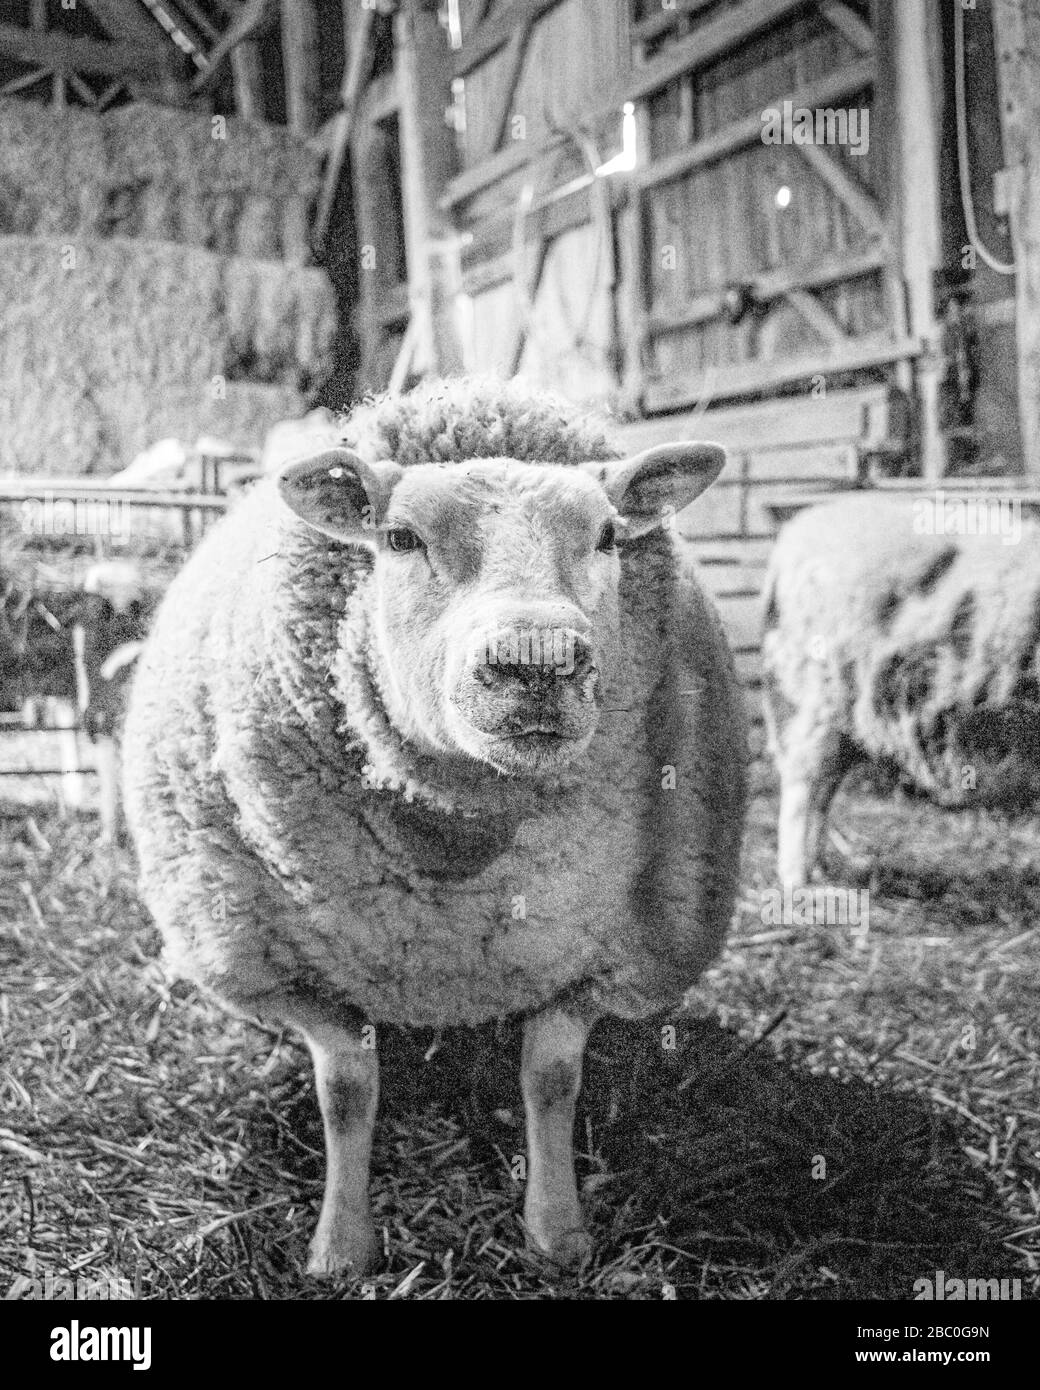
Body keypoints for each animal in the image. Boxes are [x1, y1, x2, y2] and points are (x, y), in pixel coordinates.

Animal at [119, 375, 745, 1273]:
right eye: (399, 537)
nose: (538, 660)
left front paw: (556, 1231)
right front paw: (341, 1248)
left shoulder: (607, 961)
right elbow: (347, 1093)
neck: (460, 838)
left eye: (606, 536)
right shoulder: (291, 973)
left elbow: (550, 1082)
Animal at [761, 492, 1040, 878]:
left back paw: (819, 870)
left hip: (847, 712)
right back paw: (795, 877)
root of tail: (787, 544)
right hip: (820, 690)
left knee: (823, 787)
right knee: (801, 783)